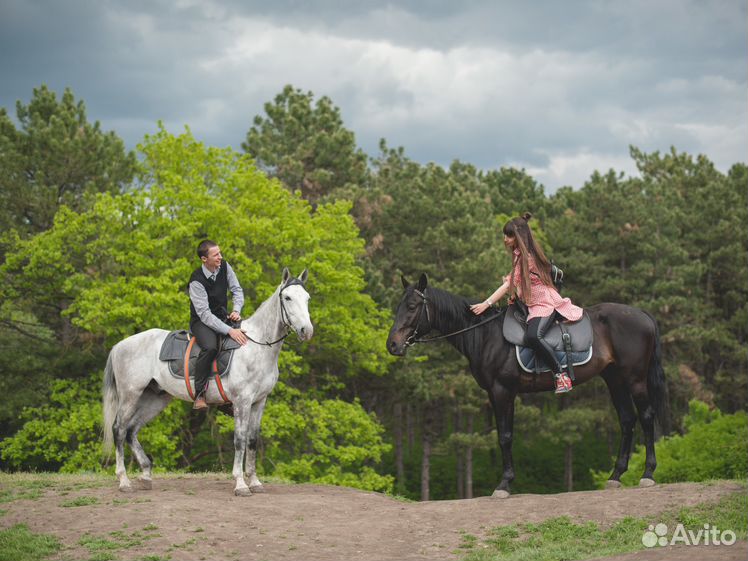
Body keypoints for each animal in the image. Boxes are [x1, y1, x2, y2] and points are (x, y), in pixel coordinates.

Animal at [101, 266, 312, 494]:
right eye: (288, 297)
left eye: (307, 298)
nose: (306, 331)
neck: (255, 346)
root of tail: (120, 345)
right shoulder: (242, 401)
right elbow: (240, 440)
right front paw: (240, 484)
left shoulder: (259, 402)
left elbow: (253, 440)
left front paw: (255, 481)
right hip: (130, 394)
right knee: (119, 429)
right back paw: (124, 480)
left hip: (154, 398)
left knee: (131, 430)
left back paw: (146, 474)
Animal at [386, 274, 668, 496]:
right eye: (399, 305)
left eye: (412, 306)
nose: (392, 345)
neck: (486, 335)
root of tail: (643, 314)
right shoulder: (497, 394)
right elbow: (504, 435)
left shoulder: (502, 391)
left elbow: (505, 437)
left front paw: (504, 484)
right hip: (614, 379)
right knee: (627, 420)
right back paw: (616, 475)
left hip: (634, 378)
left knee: (646, 416)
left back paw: (648, 474)